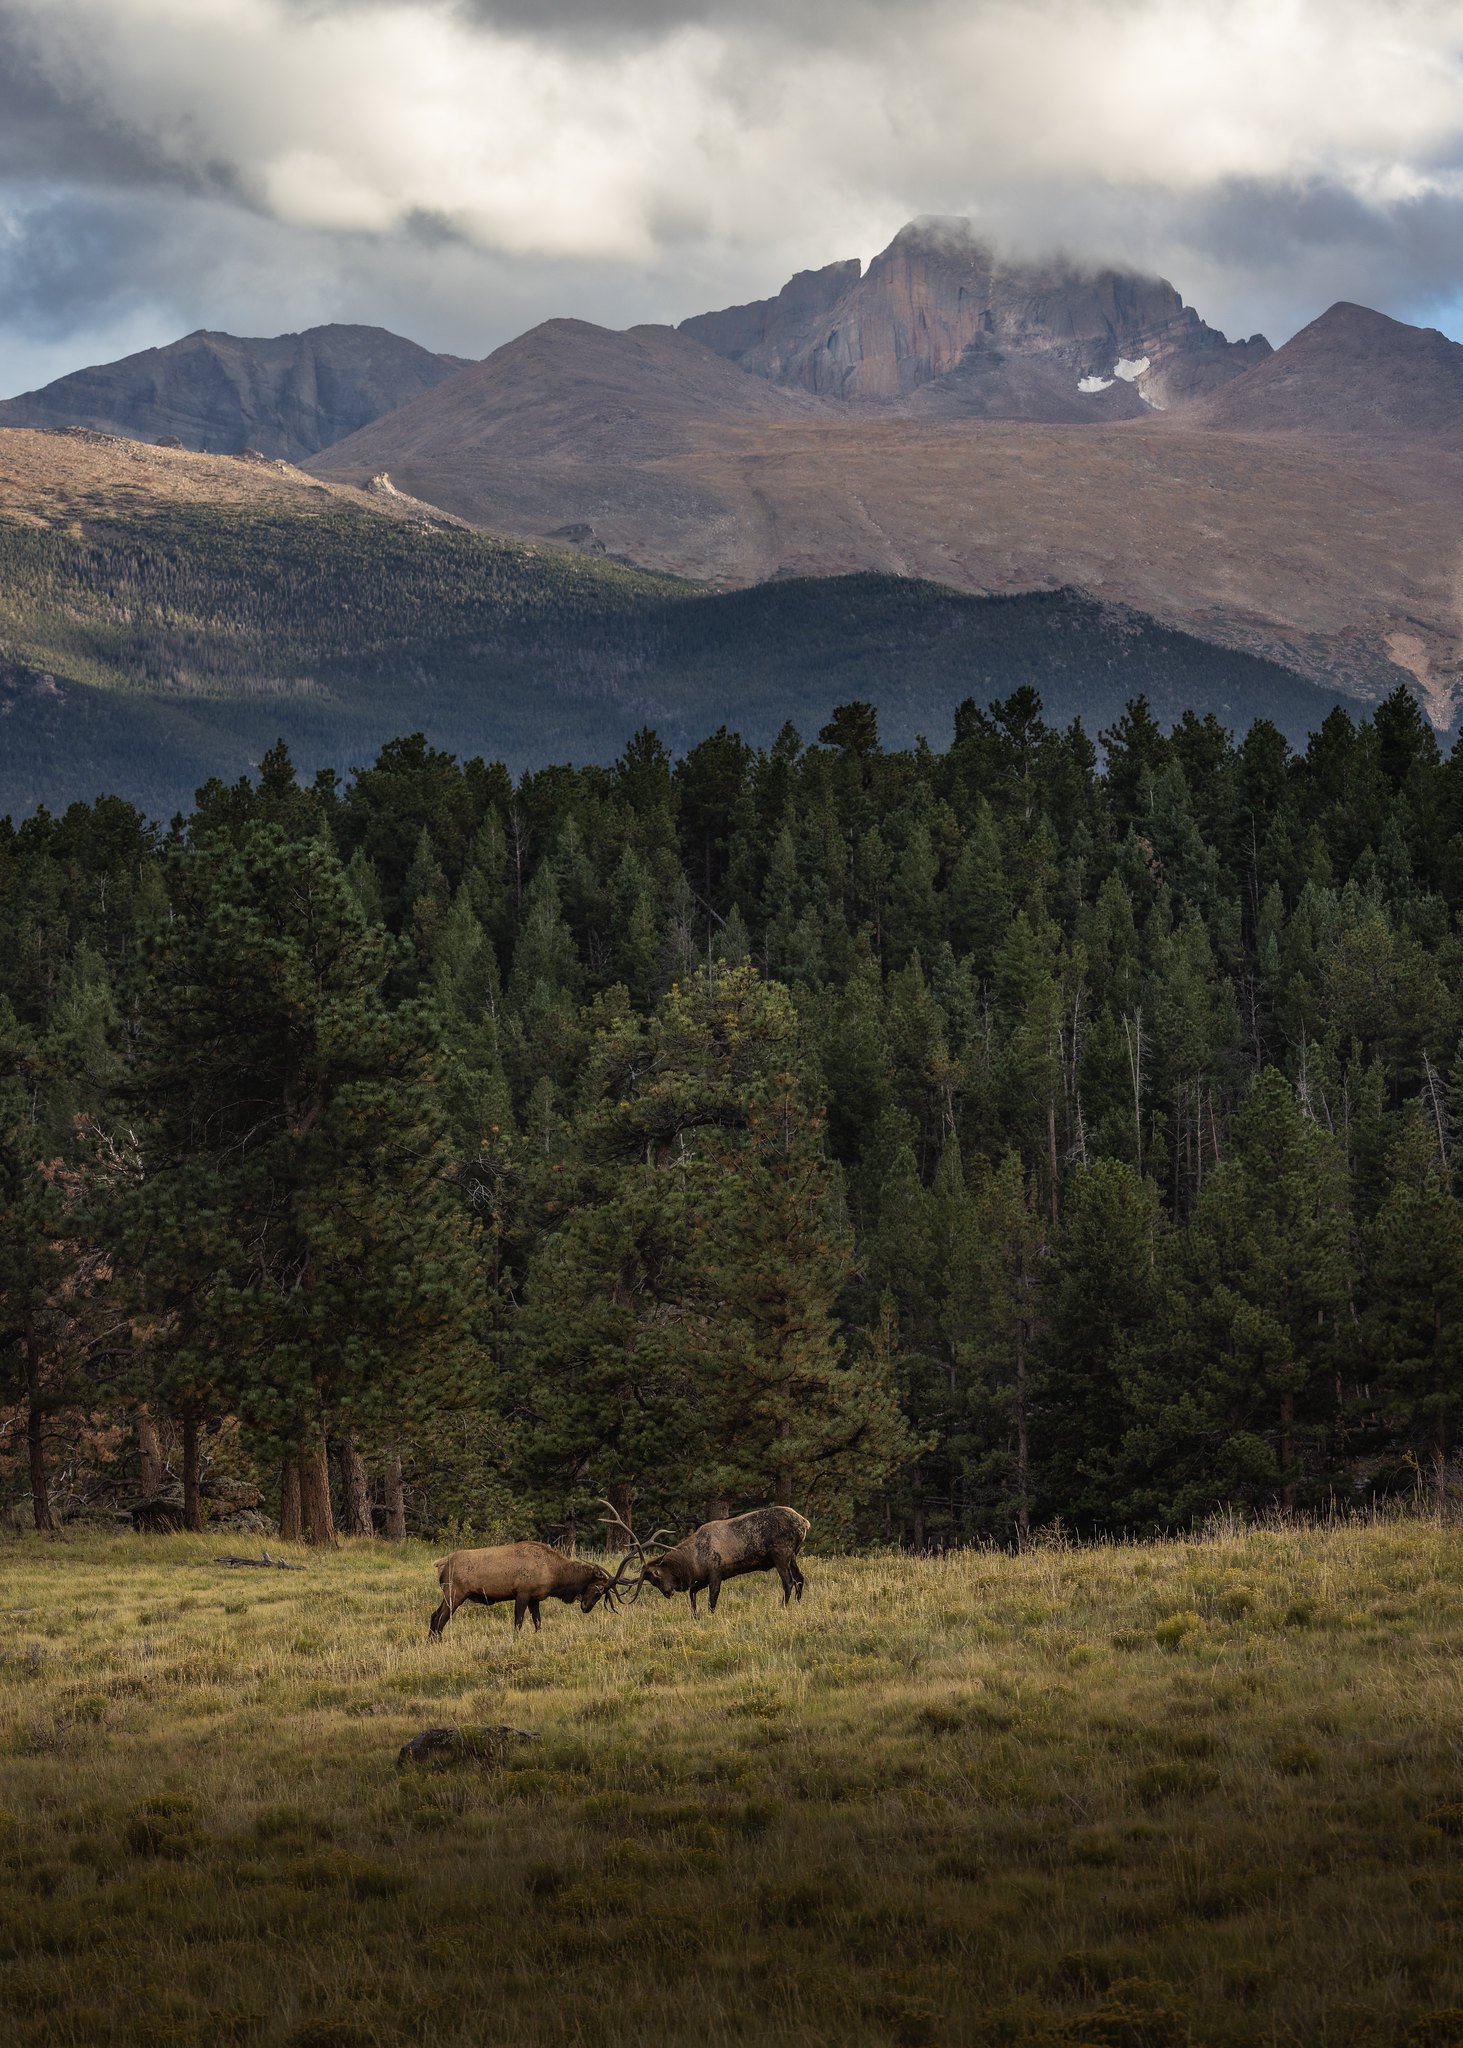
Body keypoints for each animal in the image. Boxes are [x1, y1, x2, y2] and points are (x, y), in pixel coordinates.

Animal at [424, 1540, 635, 1646]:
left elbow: (538, 1622)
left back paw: (429, 1642)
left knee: (434, 1614)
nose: (586, 1607)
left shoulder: (535, 1598)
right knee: (442, 1618)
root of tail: (441, 1563)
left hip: (448, 1594)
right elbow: (518, 1622)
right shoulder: (523, 1593)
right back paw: (438, 1643)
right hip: (455, 1593)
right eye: (599, 1589)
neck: (554, 1574)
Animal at [602, 1507, 807, 1613]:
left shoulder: (716, 1572)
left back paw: (782, 1607)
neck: (692, 1562)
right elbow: (692, 1592)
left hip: (781, 1553)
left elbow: (712, 1601)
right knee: (800, 1579)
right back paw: (798, 1605)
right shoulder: (702, 1577)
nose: (668, 1592)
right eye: (651, 1581)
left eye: (656, 1574)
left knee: (789, 1582)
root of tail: (805, 1523)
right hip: (792, 1556)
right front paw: (695, 1615)